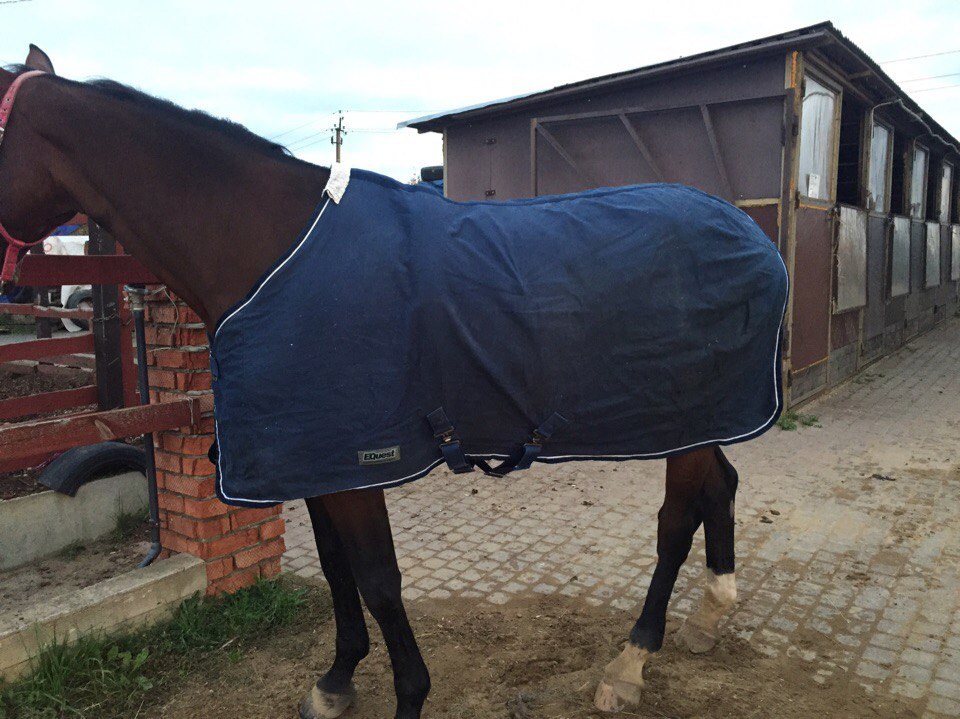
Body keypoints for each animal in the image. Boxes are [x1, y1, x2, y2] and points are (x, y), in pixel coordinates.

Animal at [0, 47, 787, 718]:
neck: (271, 250)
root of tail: (753, 235)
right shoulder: (313, 459)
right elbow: (337, 571)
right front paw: (336, 681)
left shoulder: (356, 461)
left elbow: (378, 579)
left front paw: (408, 694)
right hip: (701, 419)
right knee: (722, 485)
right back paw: (709, 615)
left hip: (684, 420)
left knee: (676, 518)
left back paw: (630, 663)